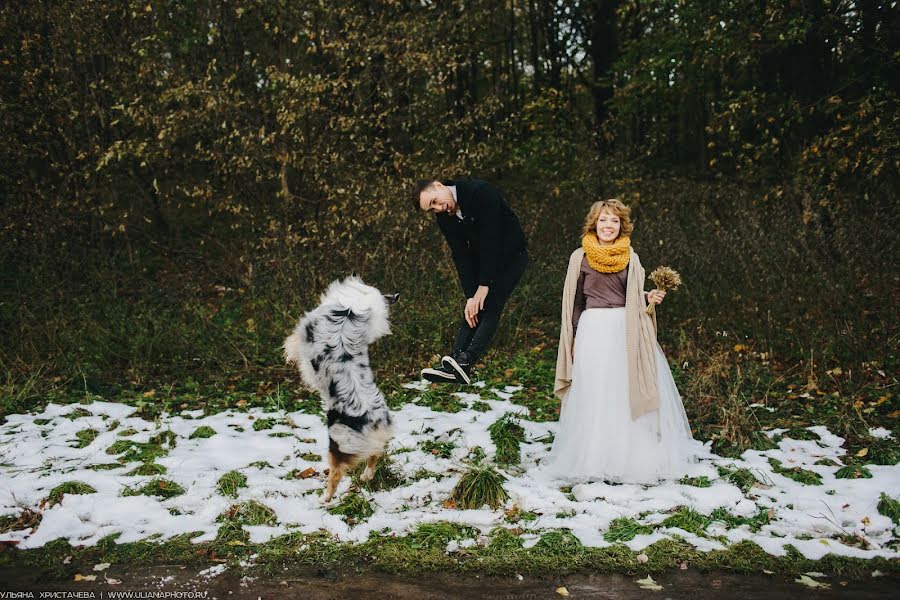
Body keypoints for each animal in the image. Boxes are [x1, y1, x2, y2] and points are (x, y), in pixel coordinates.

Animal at [284, 276, 400, 502]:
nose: (396, 296)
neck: (349, 310)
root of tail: (374, 421)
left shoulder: (304, 333)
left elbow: (293, 343)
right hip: (371, 442)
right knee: (376, 455)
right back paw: (365, 476)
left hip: (337, 441)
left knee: (337, 473)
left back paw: (325, 498)